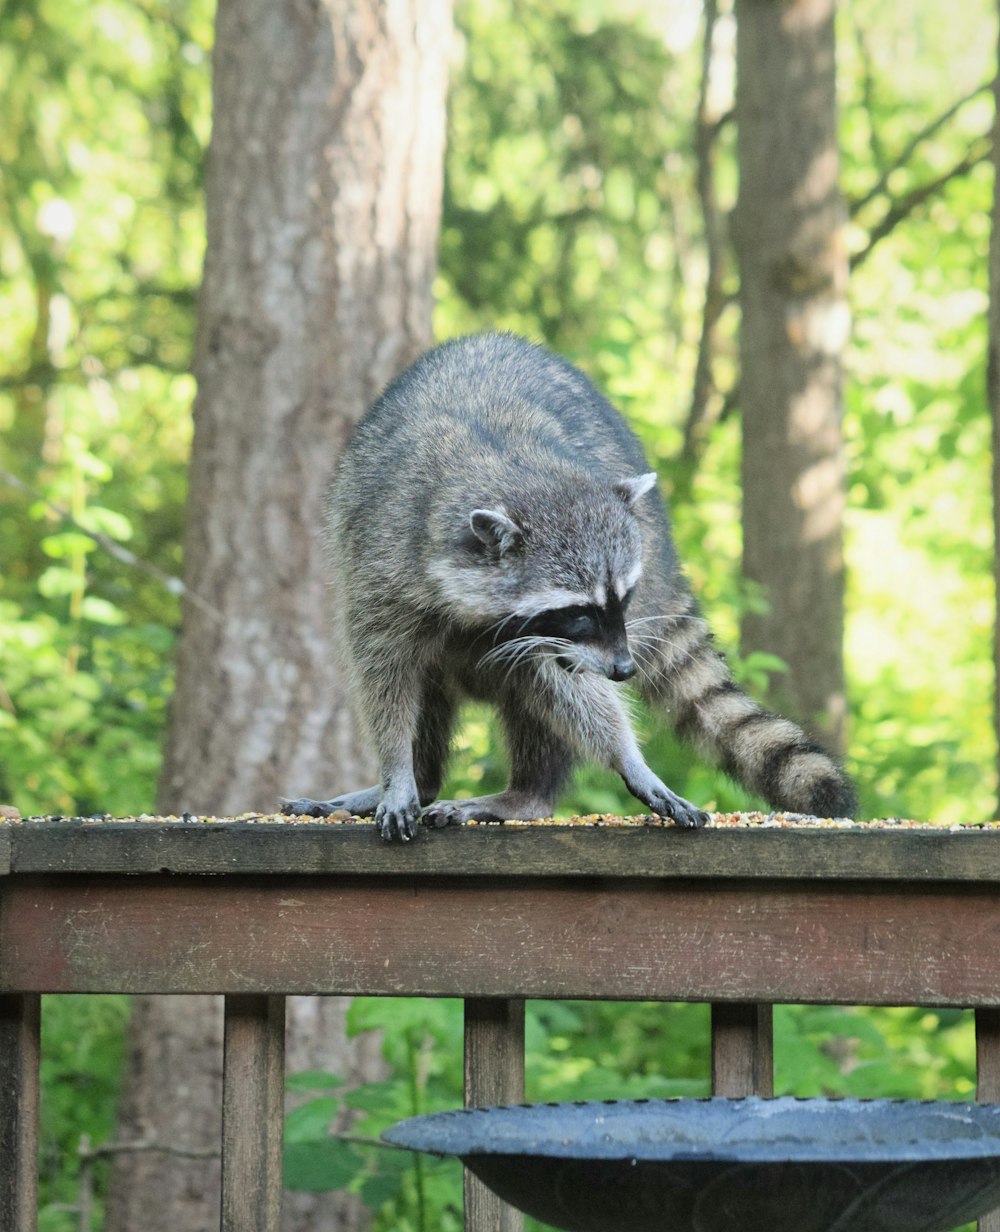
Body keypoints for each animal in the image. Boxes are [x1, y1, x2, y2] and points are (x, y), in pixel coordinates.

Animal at [283, 332, 857, 842]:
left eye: (623, 600)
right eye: (580, 611)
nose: (624, 669)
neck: (509, 467)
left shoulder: (553, 638)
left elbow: (568, 687)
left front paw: (628, 756)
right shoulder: (383, 566)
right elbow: (385, 676)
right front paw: (397, 771)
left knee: (534, 693)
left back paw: (527, 793)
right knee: (430, 684)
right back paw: (423, 780)